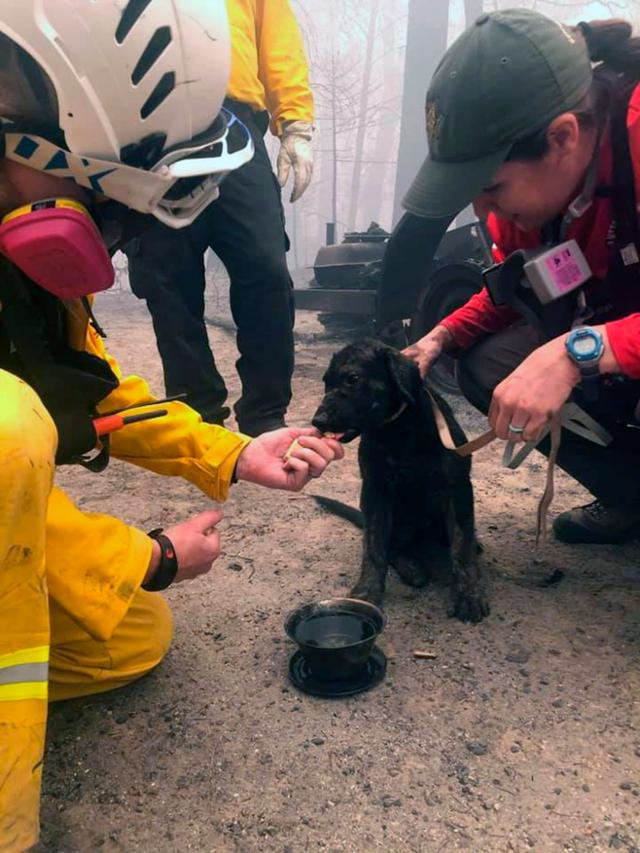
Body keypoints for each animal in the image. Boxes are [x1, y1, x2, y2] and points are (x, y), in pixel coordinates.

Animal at [312, 336, 488, 624]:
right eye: (326, 381)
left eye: (352, 378)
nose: (317, 421)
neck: (397, 429)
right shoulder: (375, 491)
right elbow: (374, 546)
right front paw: (366, 592)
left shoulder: (457, 487)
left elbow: (461, 546)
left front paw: (468, 594)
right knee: (394, 545)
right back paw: (410, 566)